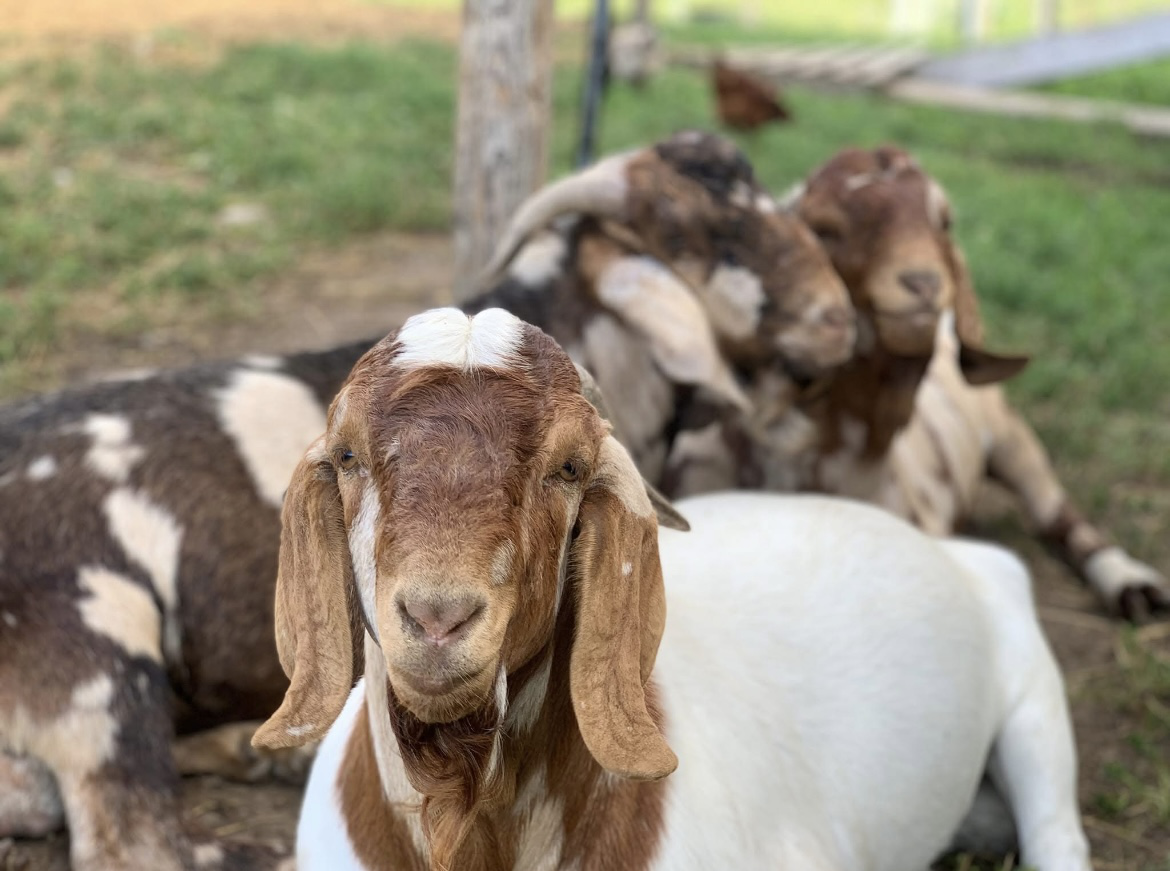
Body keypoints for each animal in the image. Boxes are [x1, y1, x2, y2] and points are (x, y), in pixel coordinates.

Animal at [669, 144, 1170, 618]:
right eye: (825, 229)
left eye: (943, 221)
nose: (923, 284)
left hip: (1013, 438)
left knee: (1055, 511)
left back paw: (1131, 583)